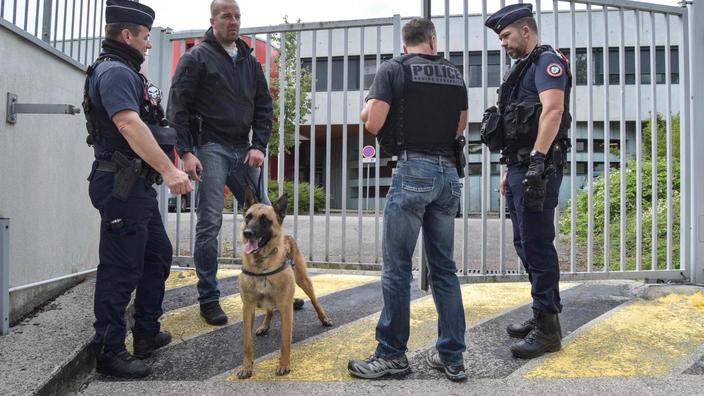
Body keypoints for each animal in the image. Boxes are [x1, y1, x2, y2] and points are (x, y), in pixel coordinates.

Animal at [238, 190, 334, 378]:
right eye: (248, 217)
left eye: (265, 220)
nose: (247, 233)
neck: (262, 266)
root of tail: (287, 236)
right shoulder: (248, 307)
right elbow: (247, 342)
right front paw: (246, 366)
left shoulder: (285, 306)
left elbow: (285, 341)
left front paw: (283, 364)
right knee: (269, 310)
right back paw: (264, 325)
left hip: (304, 281)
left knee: (315, 301)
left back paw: (324, 318)